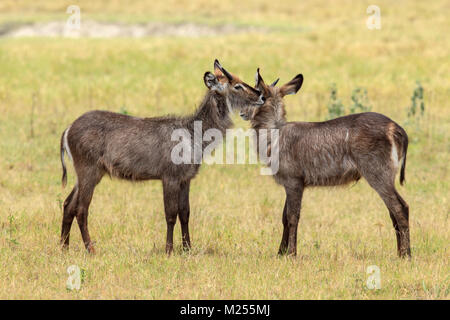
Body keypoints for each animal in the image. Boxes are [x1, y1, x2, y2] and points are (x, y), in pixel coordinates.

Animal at [59, 60, 264, 255]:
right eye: (237, 85)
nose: (261, 95)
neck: (193, 135)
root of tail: (68, 129)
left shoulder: (185, 178)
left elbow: (185, 213)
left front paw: (187, 249)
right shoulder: (170, 177)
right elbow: (171, 214)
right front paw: (169, 250)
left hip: (88, 174)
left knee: (68, 204)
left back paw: (64, 248)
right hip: (89, 170)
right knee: (81, 209)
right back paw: (91, 249)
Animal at [241, 69, 410, 258]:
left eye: (258, 94)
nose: (242, 112)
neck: (274, 134)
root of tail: (397, 129)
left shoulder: (294, 181)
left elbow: (292, 217)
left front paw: (291, 253)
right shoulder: (290, 183)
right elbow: (284, 217)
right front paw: (280, 253)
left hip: (378, 174)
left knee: (400, 208)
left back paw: (406, 255)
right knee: (393, 212)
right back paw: (399, 253)